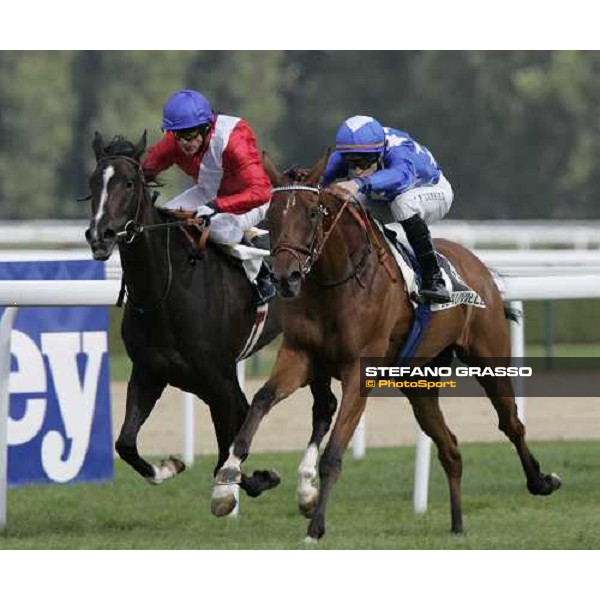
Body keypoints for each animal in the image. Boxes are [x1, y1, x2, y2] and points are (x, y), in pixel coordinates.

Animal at [84, 132, 302, 502]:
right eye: (93, 182)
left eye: (128, 183)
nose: (101, 235)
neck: (167, 291)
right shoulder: (150, 372)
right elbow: (125, 443)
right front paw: (167, 467)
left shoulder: (220, 379)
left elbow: (230, 446)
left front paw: (256, 480)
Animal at [212, 157, 564, 540]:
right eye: (272, 214)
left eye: (312, 212)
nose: (284, 277)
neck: (333, 284)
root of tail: (478, 266)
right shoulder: (301, 356)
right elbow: (260, 402)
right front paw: (225, 485)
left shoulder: (358, 371)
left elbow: (334, 453)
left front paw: (315, 527)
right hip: (418, 382)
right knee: (450, 448)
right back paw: (457, 525)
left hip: (489, 359)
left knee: (511, 423)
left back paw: (541, 481)